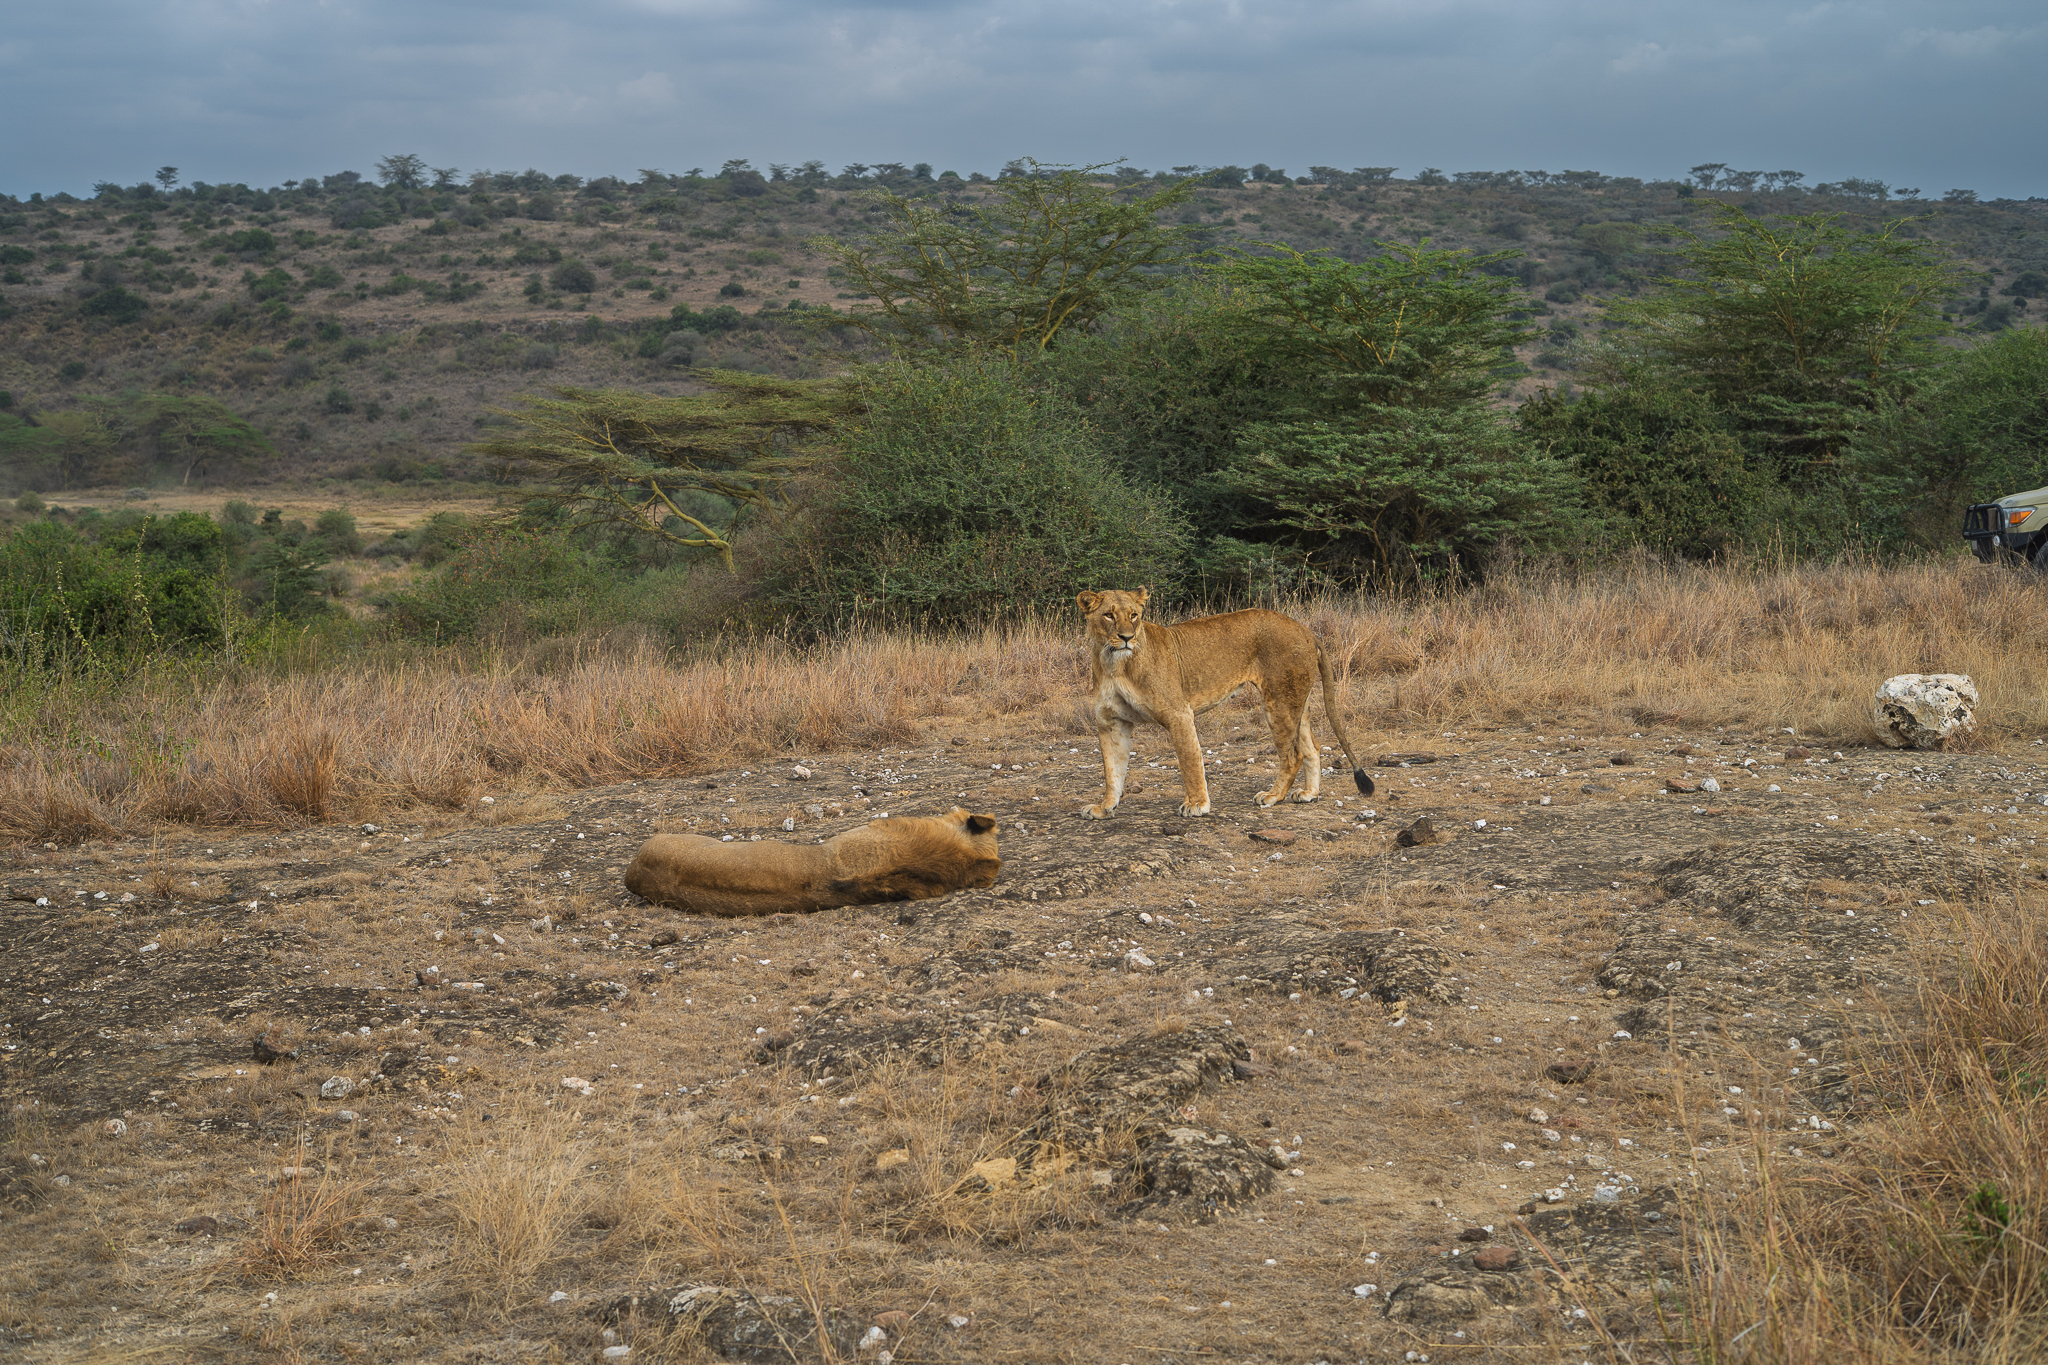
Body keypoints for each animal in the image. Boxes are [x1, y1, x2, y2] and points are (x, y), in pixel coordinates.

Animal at [1076, 588, 1374, 819]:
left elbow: (1190, 761)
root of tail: (1306, 629)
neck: (1114, 664)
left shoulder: (1179, 714)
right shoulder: (1111, 722)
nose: (1127, 638)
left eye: (1134, 616)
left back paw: (1272, 796)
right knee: (1312, 748)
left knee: (1293, 755)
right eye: (1109, 615)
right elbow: (1112, 770)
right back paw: (1309, 793)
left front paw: (1197, 805)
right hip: (1297, 701)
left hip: (1278, 701)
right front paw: (1104, 808)